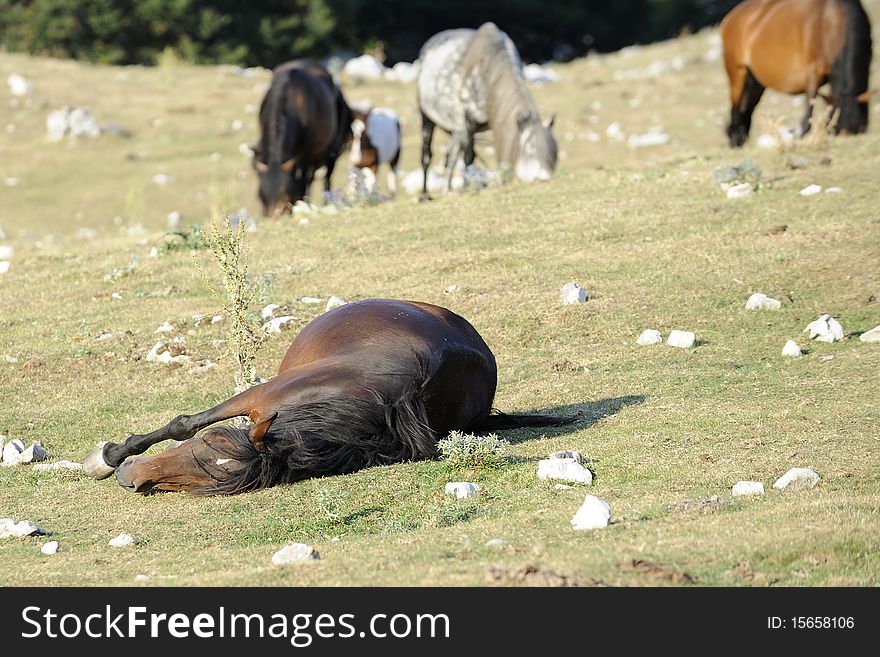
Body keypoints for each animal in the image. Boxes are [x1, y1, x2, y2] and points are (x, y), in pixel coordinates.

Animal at [82, 298, 576, 492]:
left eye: (210, 468)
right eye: (208, 447)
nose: (130, 479)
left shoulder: (262, 395)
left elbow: (183, 422)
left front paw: (109, 456)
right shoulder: (260, 397)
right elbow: (185, 423)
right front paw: (108, 456)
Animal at [249, 60, 352, 214]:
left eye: (285, 194)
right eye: (261, 196)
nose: (276, 217)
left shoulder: (305, 153)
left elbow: (302, 181)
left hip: (331, 152)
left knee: (325, 177)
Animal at [418, 21, 556, 199]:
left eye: (553, 155)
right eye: (530, 150)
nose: (544, 178)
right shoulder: (468, 123)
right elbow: (469, 157)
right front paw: (465, 188)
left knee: (451, 154)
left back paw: (447, 189)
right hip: (427, 116)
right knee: (427, 154)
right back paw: (425, 195)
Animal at [720, 0, 872, 146]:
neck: (831, 19)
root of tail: (730, 17)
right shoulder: (813, 72)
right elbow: (808, 111)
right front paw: (797, 134)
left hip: (755, 82)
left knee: (746, 108)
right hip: (738, 74)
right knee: (735, 108)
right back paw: (735, 139)